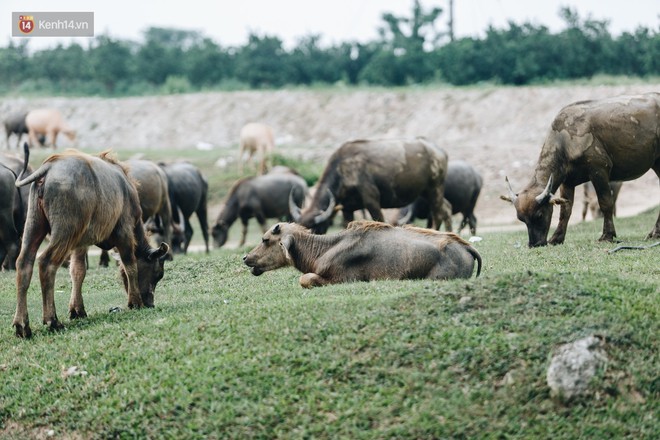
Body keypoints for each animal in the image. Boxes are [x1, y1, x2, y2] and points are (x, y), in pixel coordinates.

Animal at [12, 150, 170, 338]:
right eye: (158, 274)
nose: (150, 303)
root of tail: (50, 166)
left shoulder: (80, 244)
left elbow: (78, 271)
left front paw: (77, 310)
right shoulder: (124, 231)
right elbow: (130, 265)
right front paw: (135, 302)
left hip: (34, 226)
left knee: (24, 263)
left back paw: (22, 325)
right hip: (65, 231)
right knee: (46, 263)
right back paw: (53, 320)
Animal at [242, 220, 480, 288]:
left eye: (265, 239)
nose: (245, 257)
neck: (323, 249)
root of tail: (467, 247)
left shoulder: (342, 279)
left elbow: (305, 279)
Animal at [292, 138, 452, 235]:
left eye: (312, 228)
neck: (343, 169)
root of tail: (440, 151)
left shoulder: (372, 200)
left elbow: (379, 220)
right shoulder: (347, 208)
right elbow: (347, 224)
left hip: (435, 189)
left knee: (438, 213)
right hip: (426, 192)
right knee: (447, 208)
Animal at [500, 92, 660, 248]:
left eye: (539, 215)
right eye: (521, 219)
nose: (534, 244)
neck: (565, 142)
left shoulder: (599, 170)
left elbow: (605, 203)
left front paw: (607, 235)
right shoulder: (567, 181)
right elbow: (565, 209)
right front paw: (557, 238)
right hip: (656, 163)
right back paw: (655, 233)